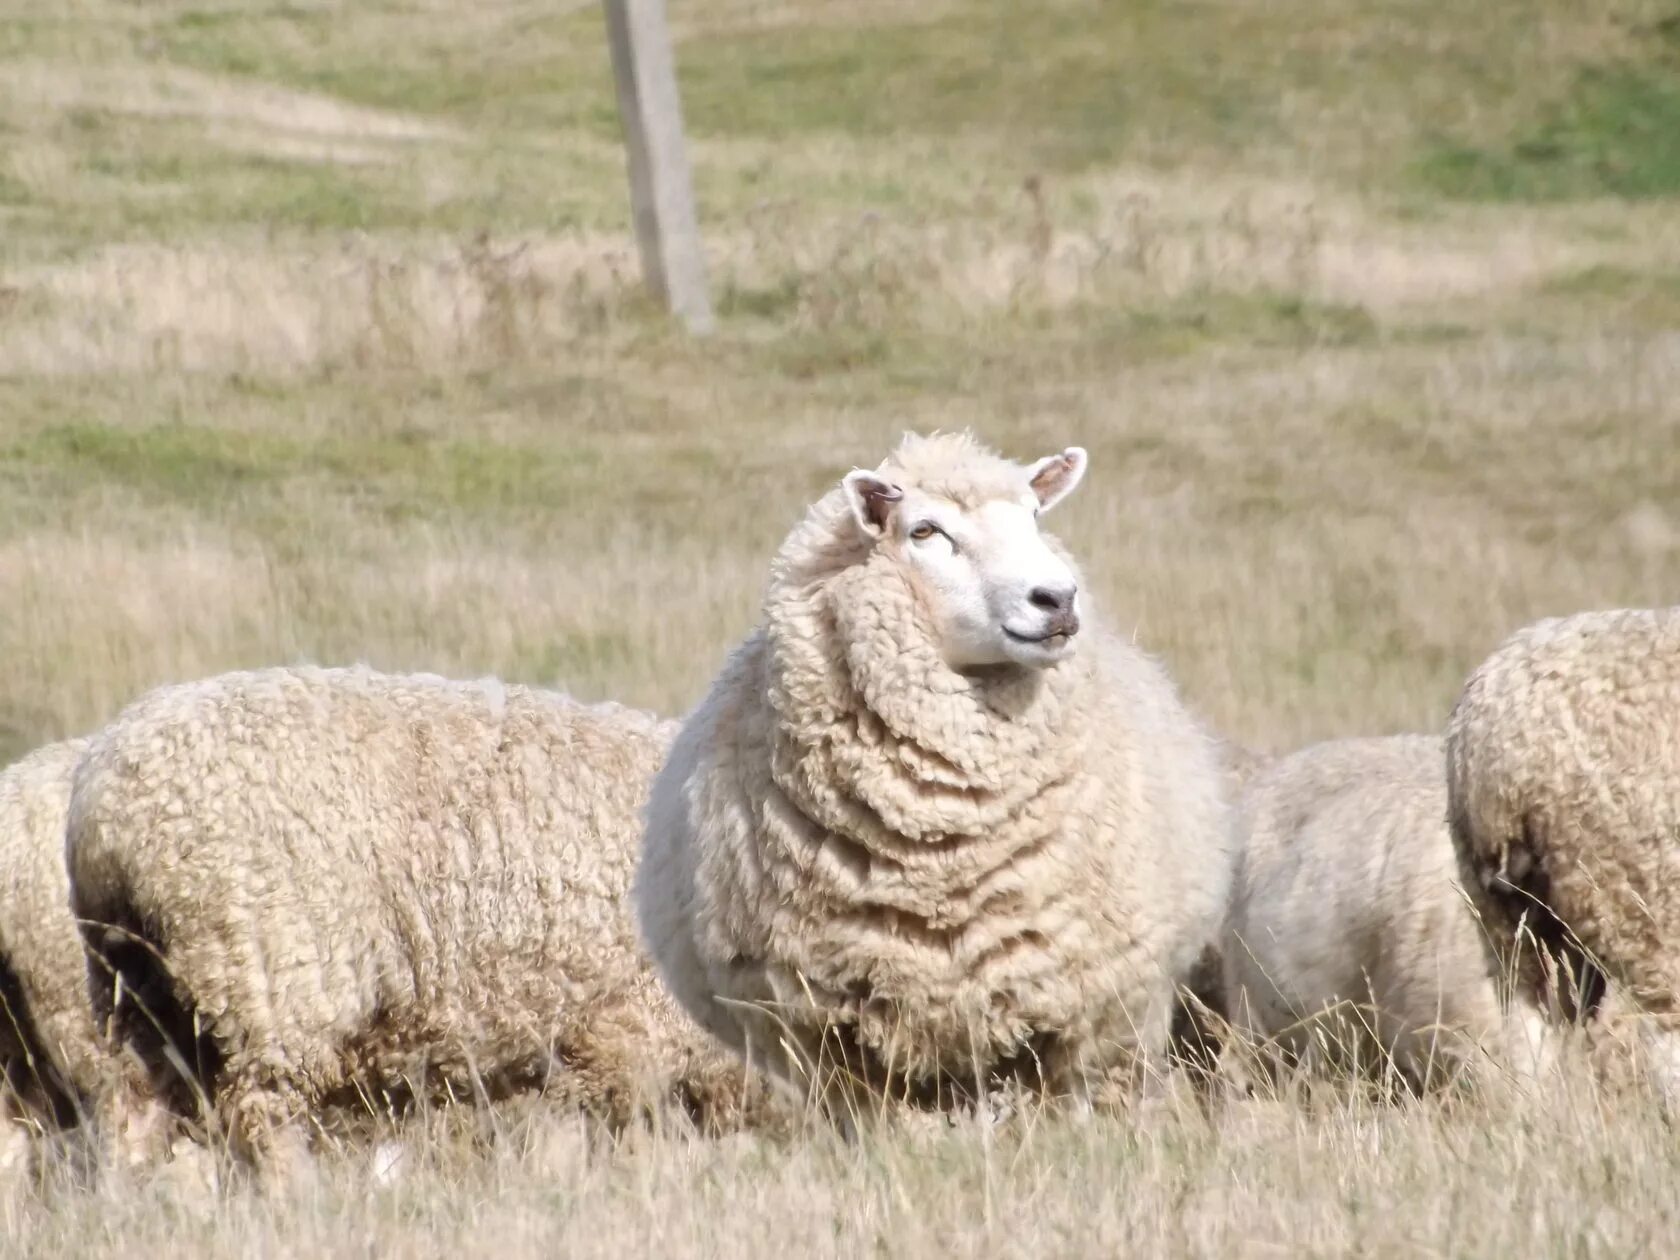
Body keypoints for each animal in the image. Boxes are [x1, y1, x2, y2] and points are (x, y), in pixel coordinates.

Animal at [65, 672, 762, 1176]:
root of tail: (103, 810)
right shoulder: (626, 1039)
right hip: (266, 978)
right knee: (262, 1116)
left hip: (136, 990)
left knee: (134, 1112)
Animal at [631, 430, 1236, 1128]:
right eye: (925, 531)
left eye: (1035, 515)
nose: (1057, 599)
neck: (941, 844)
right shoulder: (825, 1030)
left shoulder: (1077, 1011)